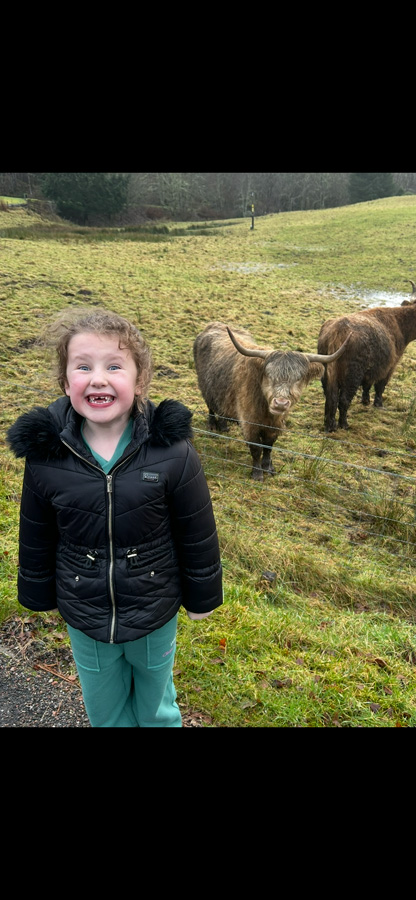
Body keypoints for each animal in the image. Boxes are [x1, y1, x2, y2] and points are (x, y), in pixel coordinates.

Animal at [193, 322, 350, 482]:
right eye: (268, 375)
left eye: (298, 378)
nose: (280, 403)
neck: (266, 412)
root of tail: (214, 325)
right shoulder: (249, 423)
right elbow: (256, 448)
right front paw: (257, 473)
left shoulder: (275, 425)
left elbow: (268, 446)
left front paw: (269, 468)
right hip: (206, 387)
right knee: (211, 407)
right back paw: (213, 426)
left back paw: (224, 426)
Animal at [316, 284, 416, 434]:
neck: (400, 324)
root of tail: (338, 330)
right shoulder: (390, 366)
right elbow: (380, 386)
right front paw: (378, 404)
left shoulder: (371, 369)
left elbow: (368, 384)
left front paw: (365, 400)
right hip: (352, 376)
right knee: (343, 400)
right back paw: (344, 424)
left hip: (327, 371)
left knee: (330, 397)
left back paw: (330, 425)